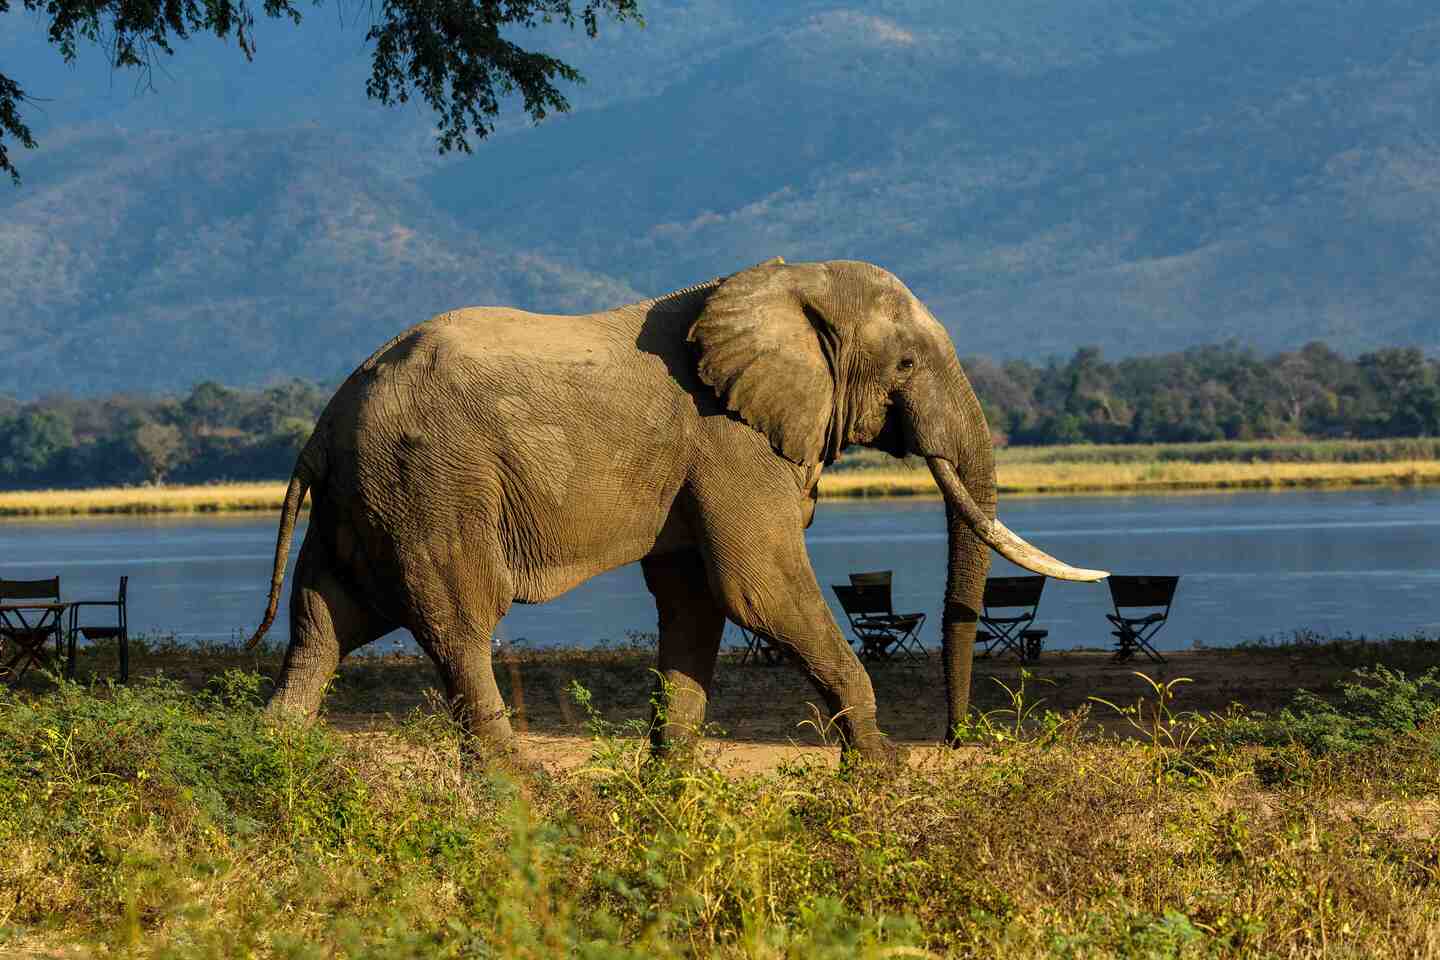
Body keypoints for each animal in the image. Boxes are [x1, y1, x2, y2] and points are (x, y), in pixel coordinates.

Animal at [247, 258, 1106, 764]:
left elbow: (696, 599)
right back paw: (522, 794)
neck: (789, 284)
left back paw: (269, 762)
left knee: (324, 626)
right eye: (905, 362)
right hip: (427, 485)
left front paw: (670, 786)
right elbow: (760, 589)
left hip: (368, 499)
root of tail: (322, 426)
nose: (958, 743)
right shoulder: (731, 443)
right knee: (458, 622)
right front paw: (877, 781)